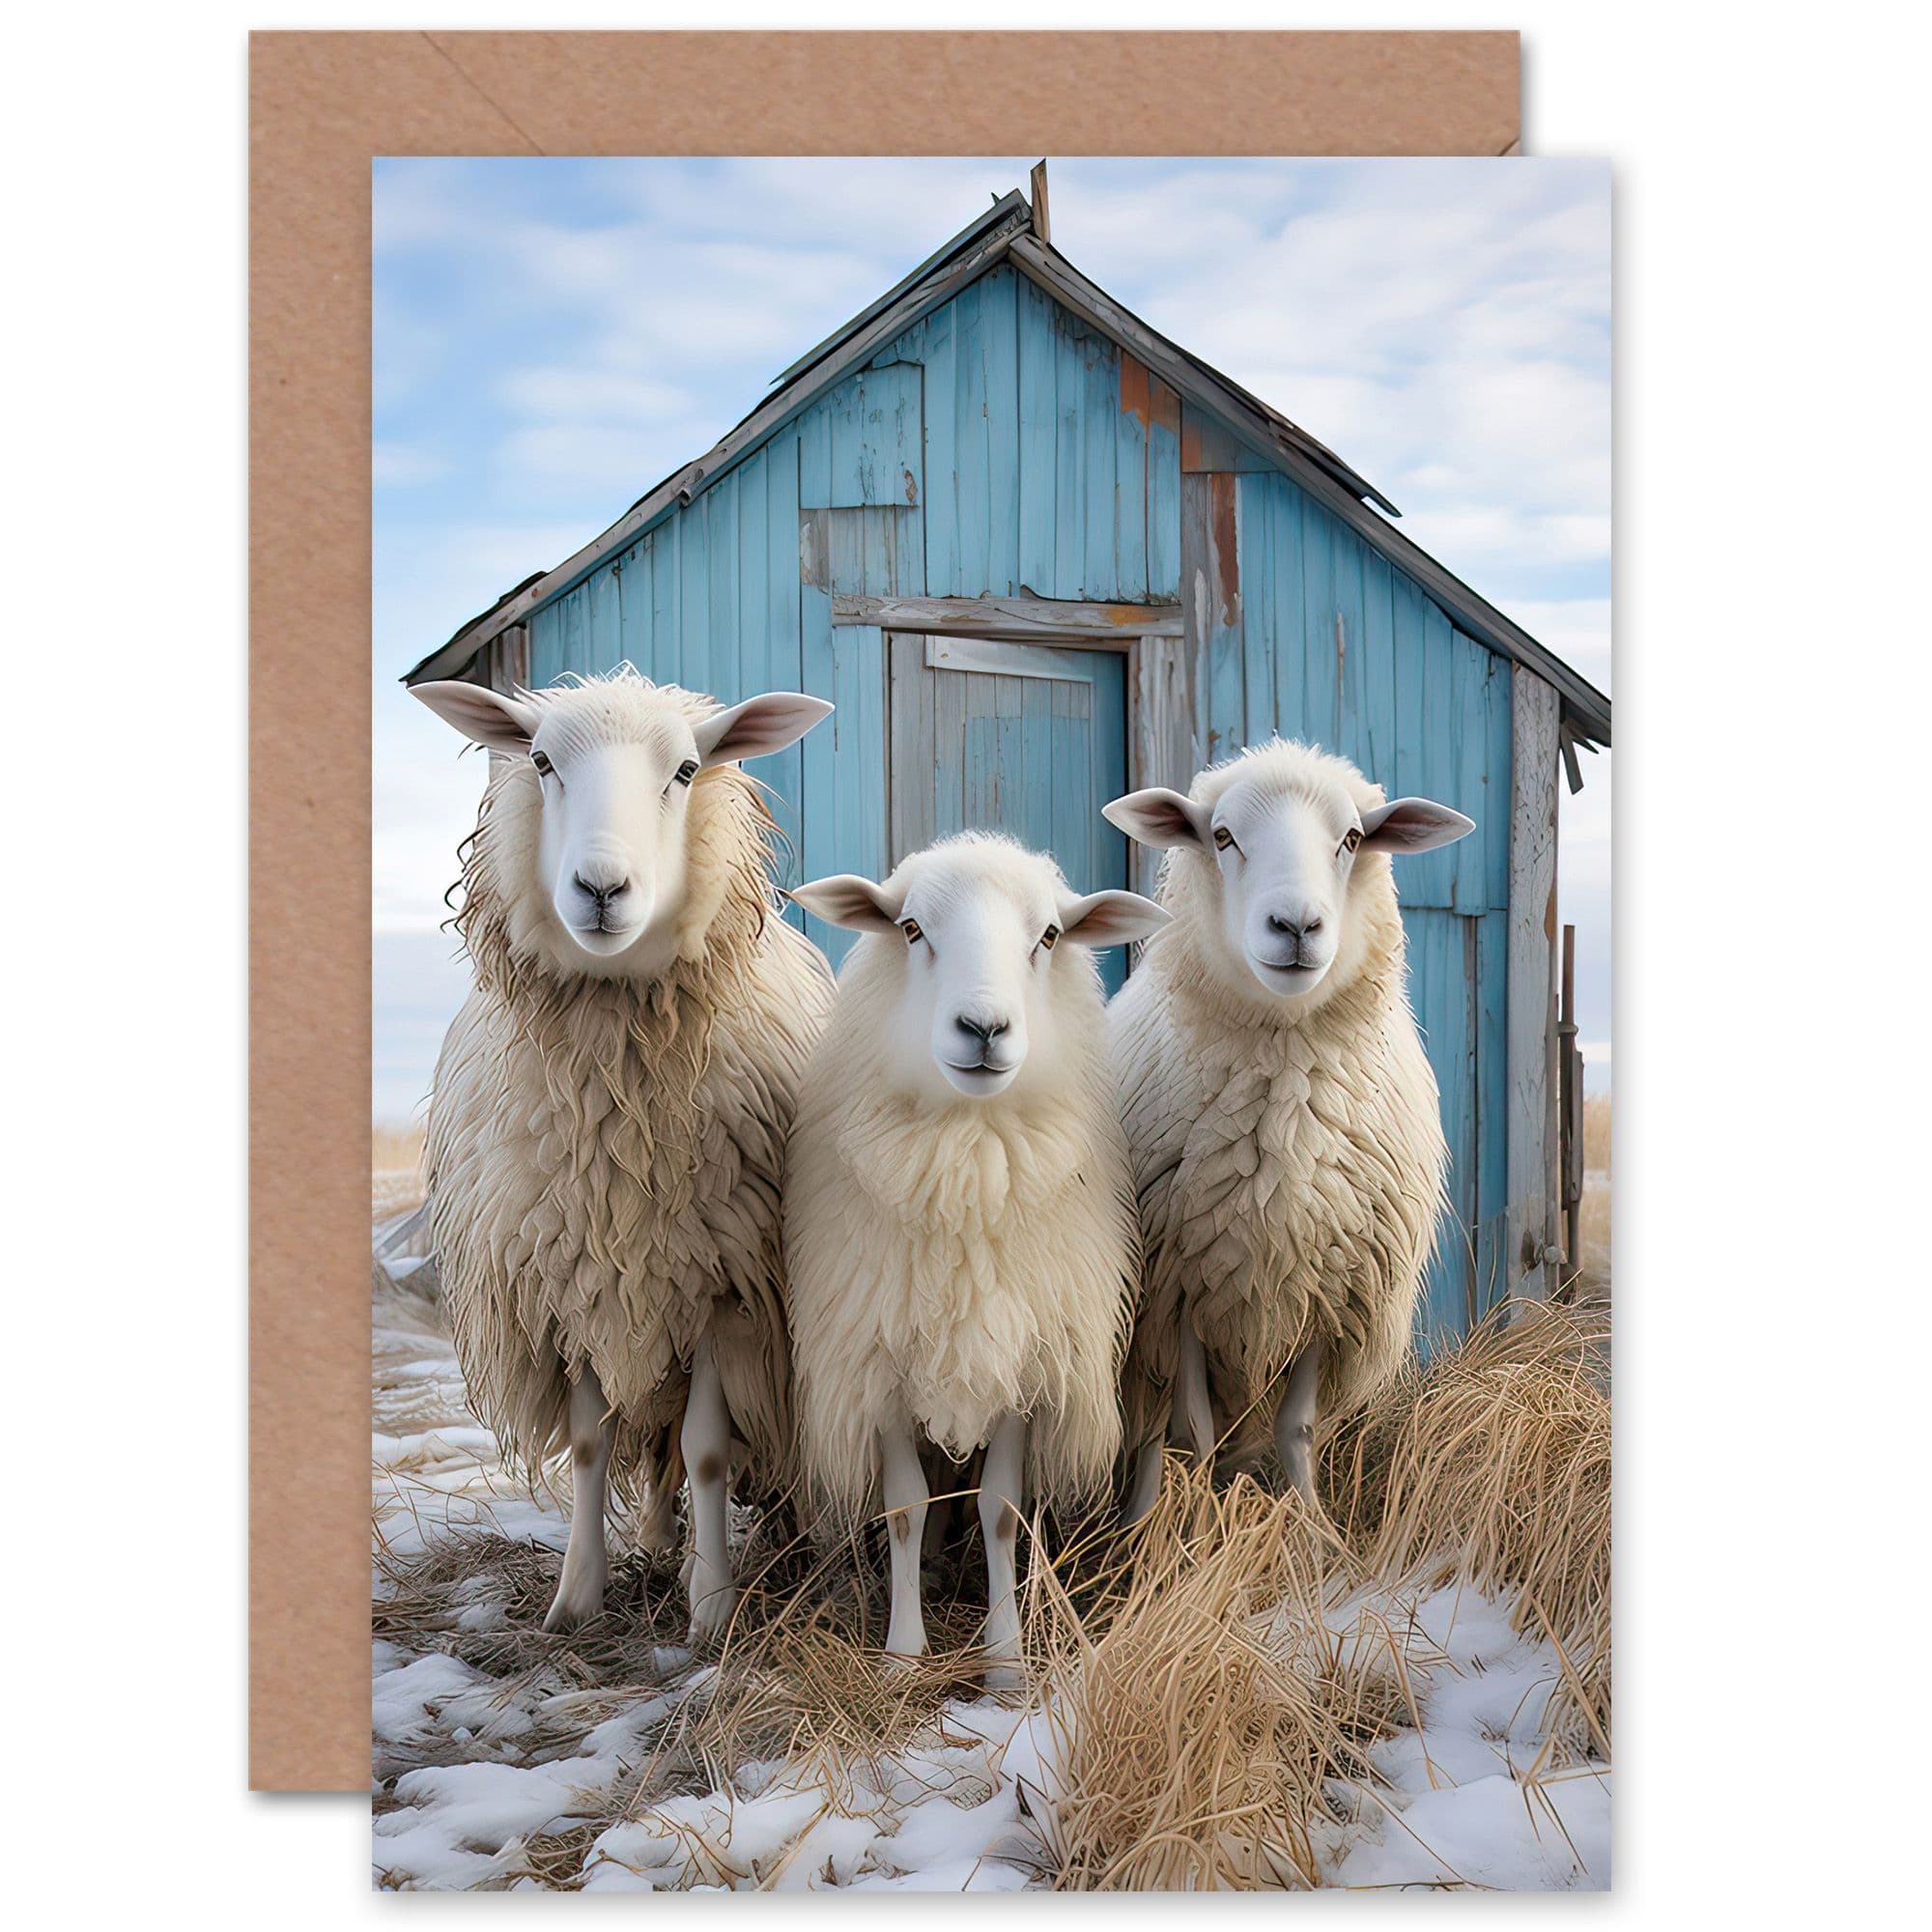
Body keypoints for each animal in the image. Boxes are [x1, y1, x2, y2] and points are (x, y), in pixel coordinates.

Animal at [410, 667, 837, 1641]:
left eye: (686, 769)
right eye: (539, 761)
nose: (601, 888)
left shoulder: (726, 1287)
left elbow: (709, 1452)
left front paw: (712, 1611)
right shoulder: (565, 1285)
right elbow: (589, 1443)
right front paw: (576, 1600)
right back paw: (653, 1538)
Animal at [785, 835, 1168, 1682]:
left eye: (1051, 936)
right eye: (911, 928)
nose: (984, 1027)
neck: (969, 1155)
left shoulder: (1026, 1365)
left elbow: (1001, 1511)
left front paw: (1005, 1659)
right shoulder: (882, 1362)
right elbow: (901, 1509)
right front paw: (902, 1655)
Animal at [1100, 739, 1475, 1518]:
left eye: (1353, 839)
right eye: (1221, 836)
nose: (1297, 927)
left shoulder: (1335, 1291)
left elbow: (1296, 1429)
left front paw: (1311, 1530)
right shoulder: (1180, 1295)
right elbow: (1192, 1431)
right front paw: (1200, 1534)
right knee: (1154, 1438)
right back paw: (1138, 1525)